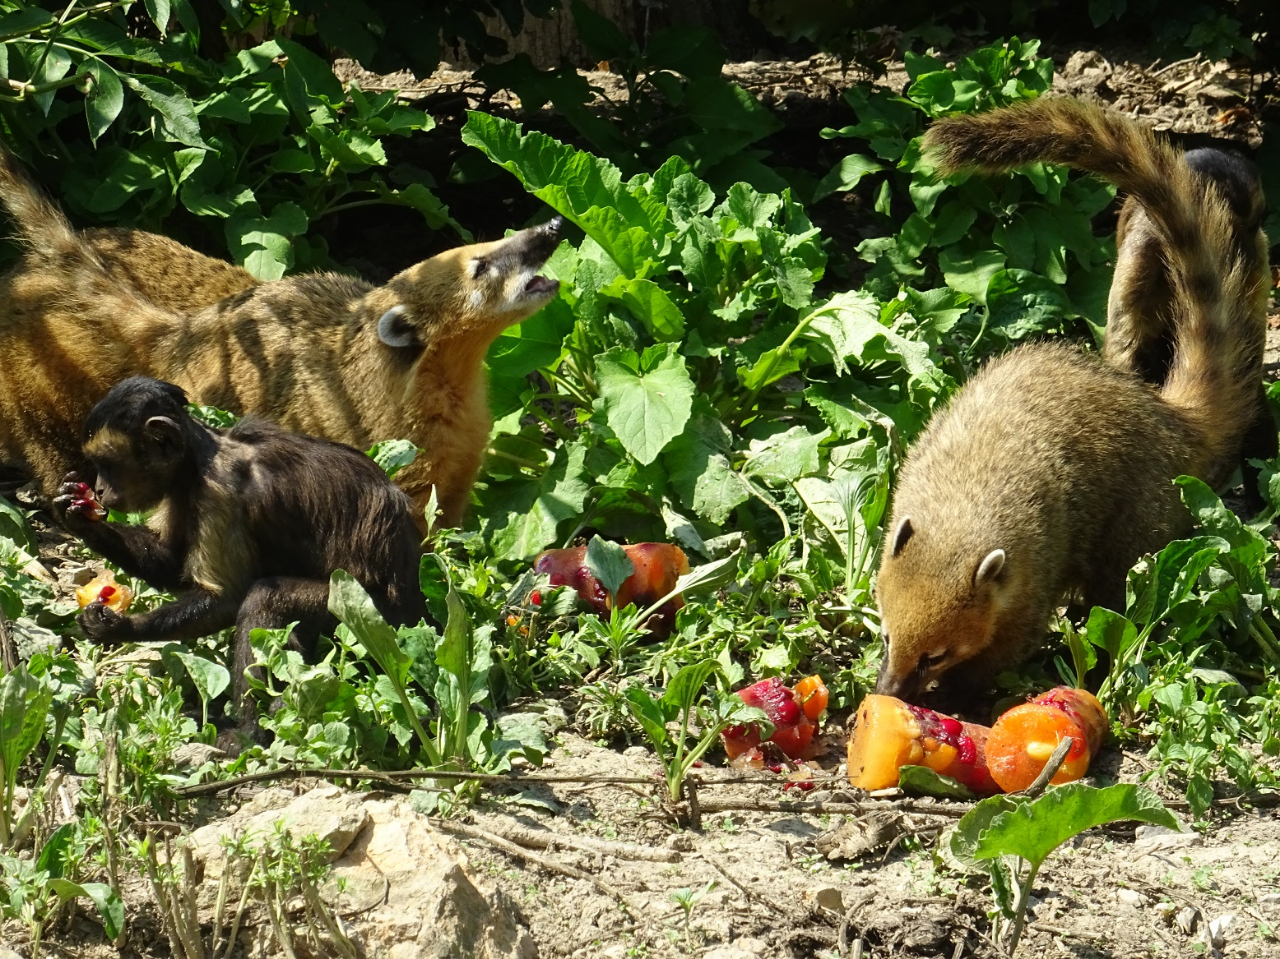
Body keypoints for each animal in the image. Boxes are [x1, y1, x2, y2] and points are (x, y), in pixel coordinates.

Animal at [57, 373, 424, 742]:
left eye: (108, 465)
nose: (98, 488)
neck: (199, 459)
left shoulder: (219, 491)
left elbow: (226, 599)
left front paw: (118, 627)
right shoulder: (181, 490)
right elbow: (170, 564)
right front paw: (77, 518)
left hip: (371, 618)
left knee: (266, 597)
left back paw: (247, 735)